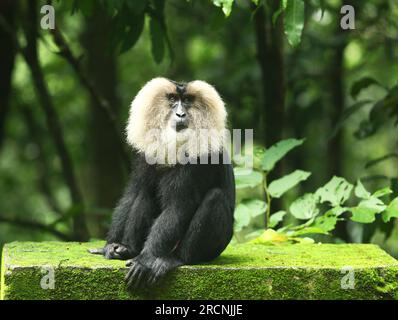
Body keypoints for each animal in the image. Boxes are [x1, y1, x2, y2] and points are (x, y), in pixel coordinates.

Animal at [88, 78, 235, 290]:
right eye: (172, 99)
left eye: (187, 101)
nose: (180, 114)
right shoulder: (143, 155)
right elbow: (133, 193)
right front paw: (110, 245)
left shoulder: (199, 159)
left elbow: (178, 206)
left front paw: (146, 260)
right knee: (144, 194)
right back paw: (128, 249)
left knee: (215, 197)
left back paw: (173, 259)